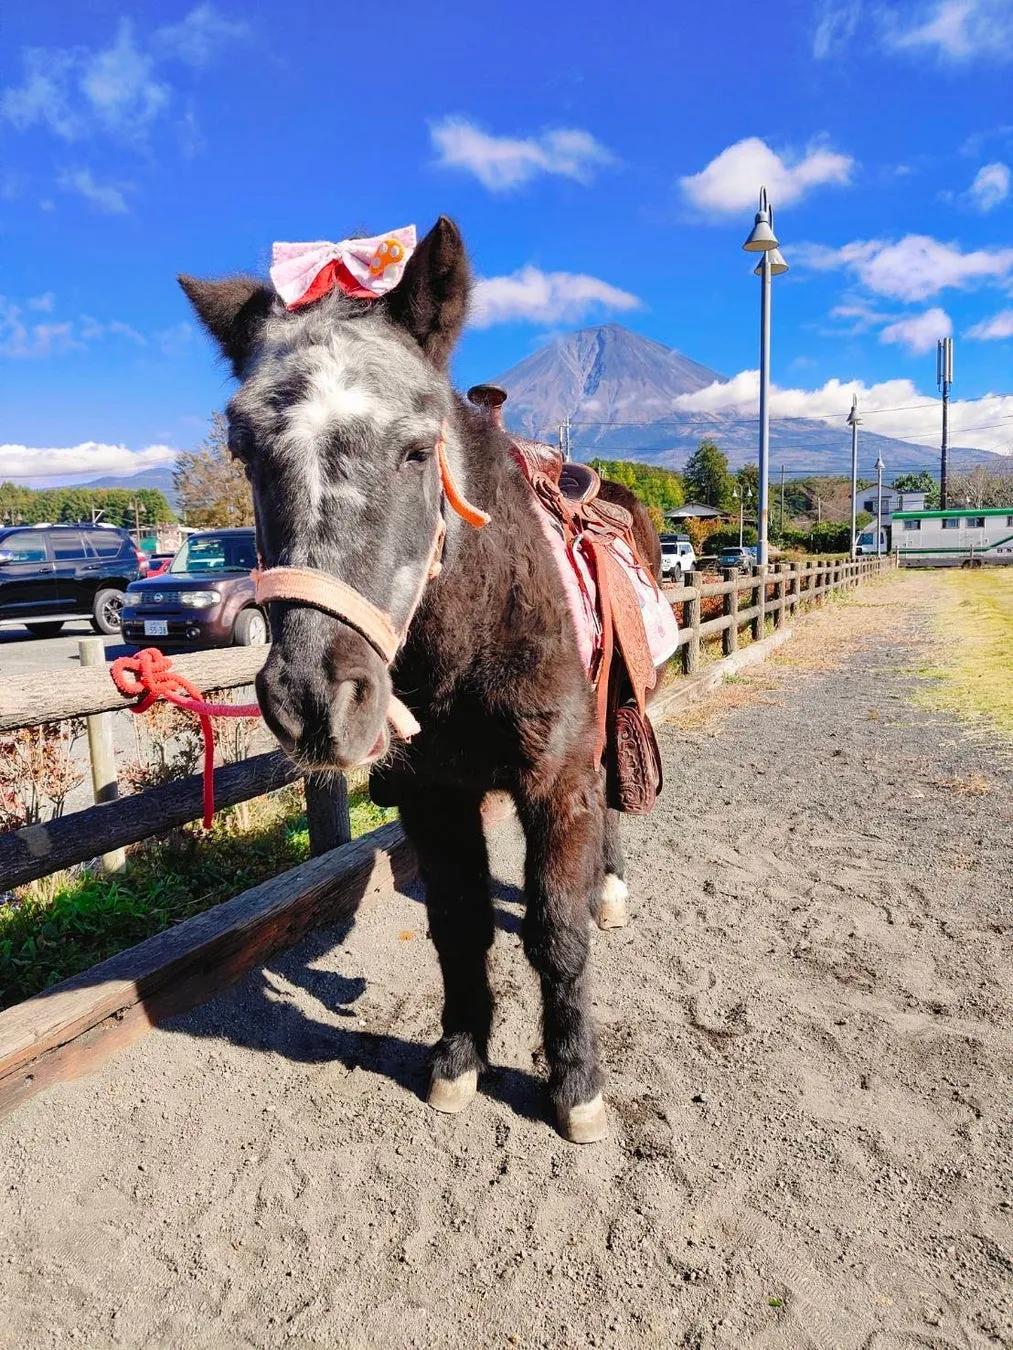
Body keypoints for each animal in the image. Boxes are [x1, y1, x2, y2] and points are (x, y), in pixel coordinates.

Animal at [179, 217, 664, 1144]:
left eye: (414, 450)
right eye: (241, 448)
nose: (313, 700)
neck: (474, 639)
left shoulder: (554, 781)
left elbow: (554, 935)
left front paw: (575, 1083)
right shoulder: (434, 796)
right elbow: (458, 927)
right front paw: (459, 1056)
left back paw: (609, 887)